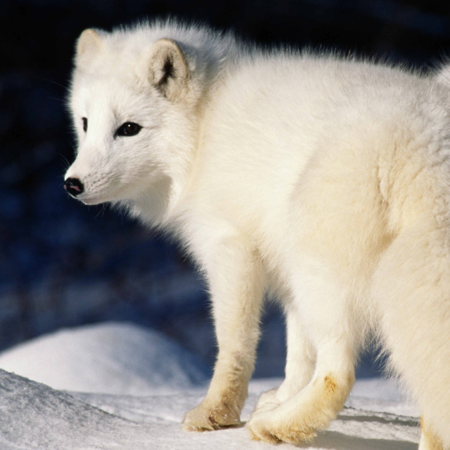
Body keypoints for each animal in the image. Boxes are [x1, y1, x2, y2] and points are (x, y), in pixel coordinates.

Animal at [64, 20, 450, 446]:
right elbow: (298, 353)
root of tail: (430, 144)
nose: (72, 184)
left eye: (129, 129)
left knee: (339, 373)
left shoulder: (230, 245)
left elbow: (234, 343)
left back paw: (273, 428)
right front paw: (280, 395)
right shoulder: (279, 262)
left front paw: (215, 413)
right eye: (85, 123)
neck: (204, 129)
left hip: (318, 267)